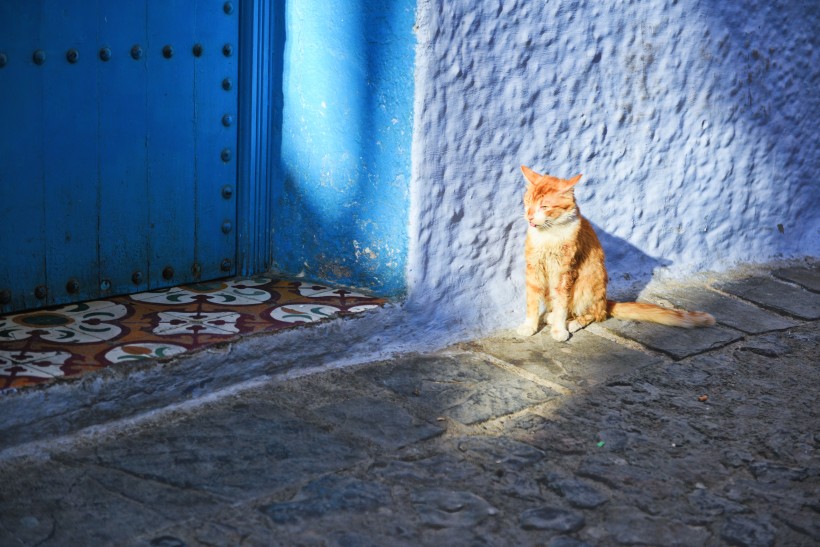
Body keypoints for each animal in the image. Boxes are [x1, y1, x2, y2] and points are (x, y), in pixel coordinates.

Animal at [524, 165, 716, 340]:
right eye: (528, 203)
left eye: (544, 206)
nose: (530, 217)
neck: (549, 234)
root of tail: (605, 301)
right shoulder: (533, 268)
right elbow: (532, 301)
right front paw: (529, 326)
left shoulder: (565, 272)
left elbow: (562, 304)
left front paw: (558, 330)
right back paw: (550, 316)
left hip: (586, 284)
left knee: (594, 314)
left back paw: (571, 323)